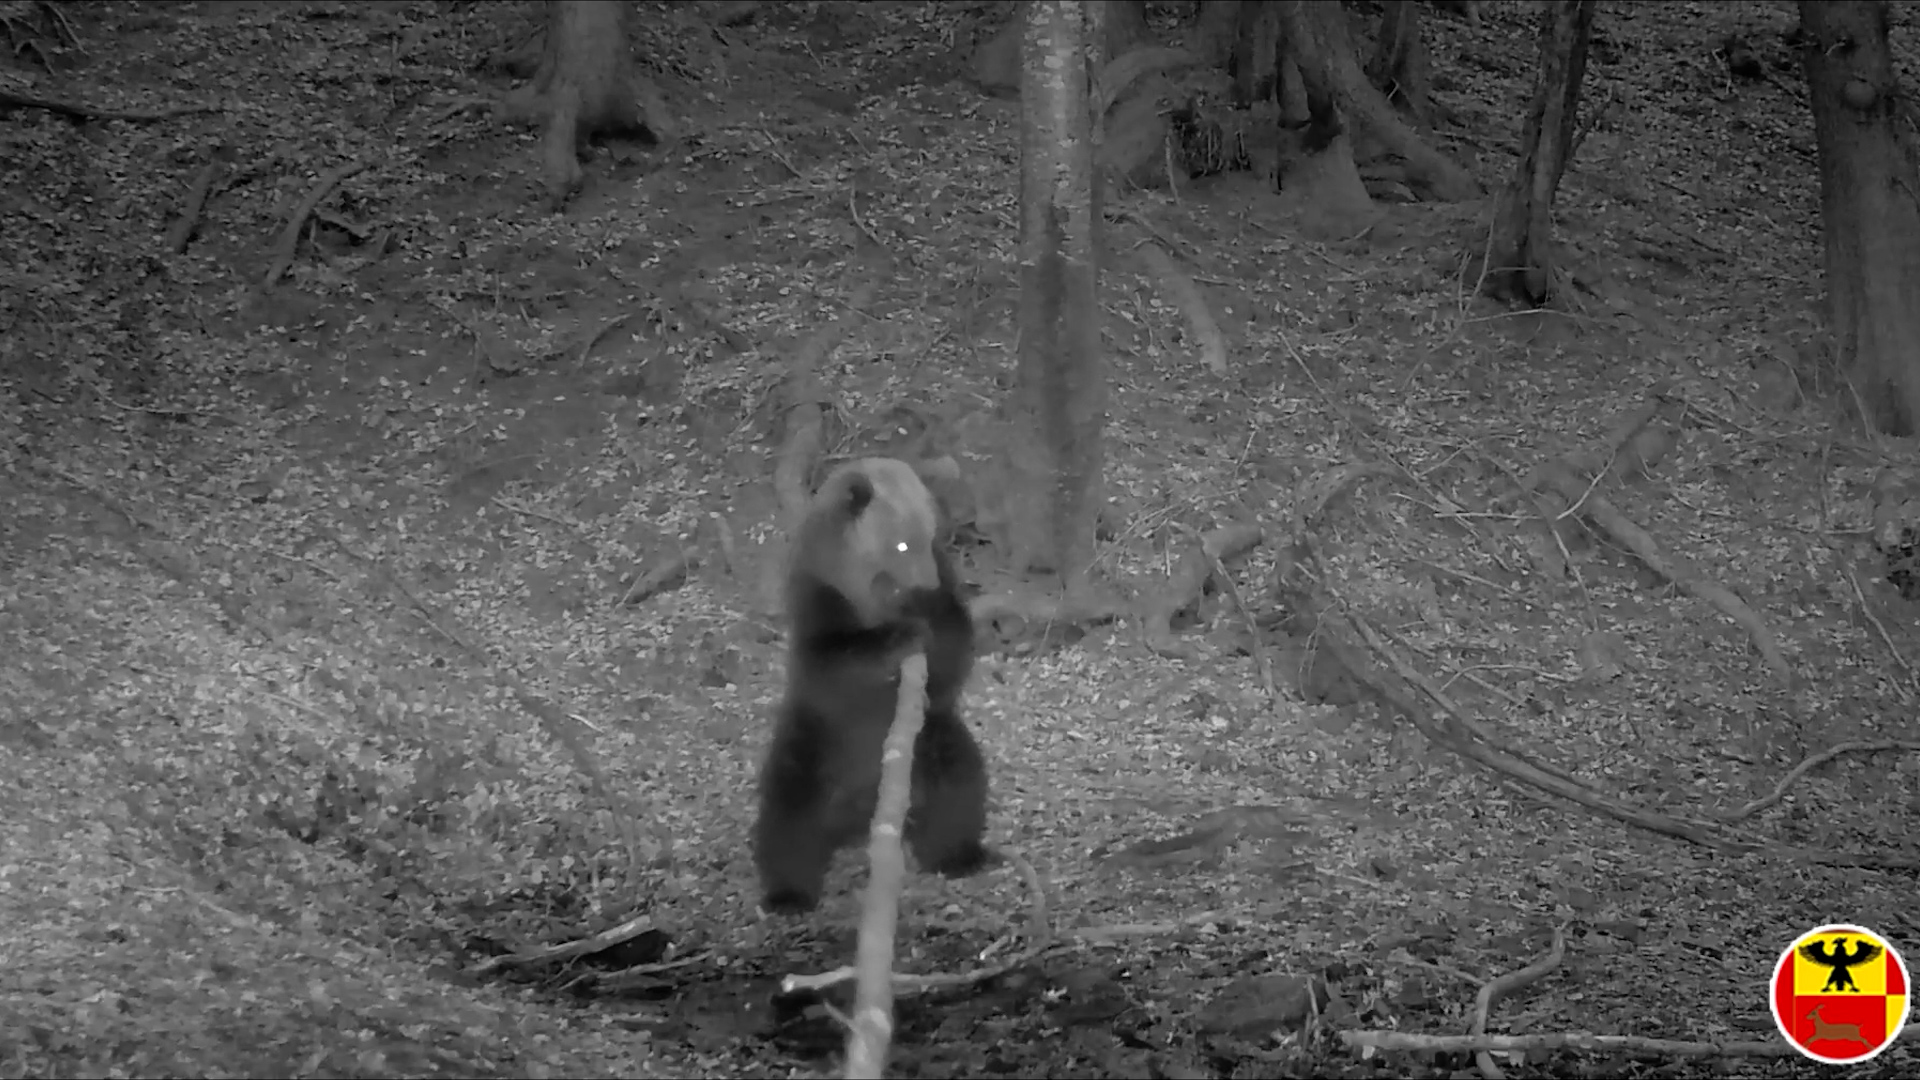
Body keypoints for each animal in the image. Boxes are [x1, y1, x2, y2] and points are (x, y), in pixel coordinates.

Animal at [752, 456, 991, 914]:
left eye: (931, 537)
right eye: (900, 545)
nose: (926, 583)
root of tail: (858, 817)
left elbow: (954, 646)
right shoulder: (821, 596)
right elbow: (832, 662)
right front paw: (901, 635)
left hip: (930, 745)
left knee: (960, 781)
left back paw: (961, 855)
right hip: (814, 746)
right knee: (787, 813)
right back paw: (788, 894)